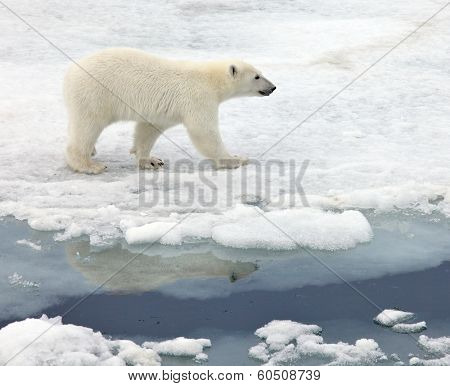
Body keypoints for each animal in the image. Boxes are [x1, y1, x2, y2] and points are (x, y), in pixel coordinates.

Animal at [62, 47, 274, 174]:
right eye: (257, 76)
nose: (273, 87)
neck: (210, 79)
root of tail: (71, 72)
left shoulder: (162, 111)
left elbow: (148, 129)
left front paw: (151, 160)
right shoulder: (198, 98)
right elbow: (204, 132)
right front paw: (236, 159)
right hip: (95, 94)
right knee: (87, 126)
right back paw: (89, 164)